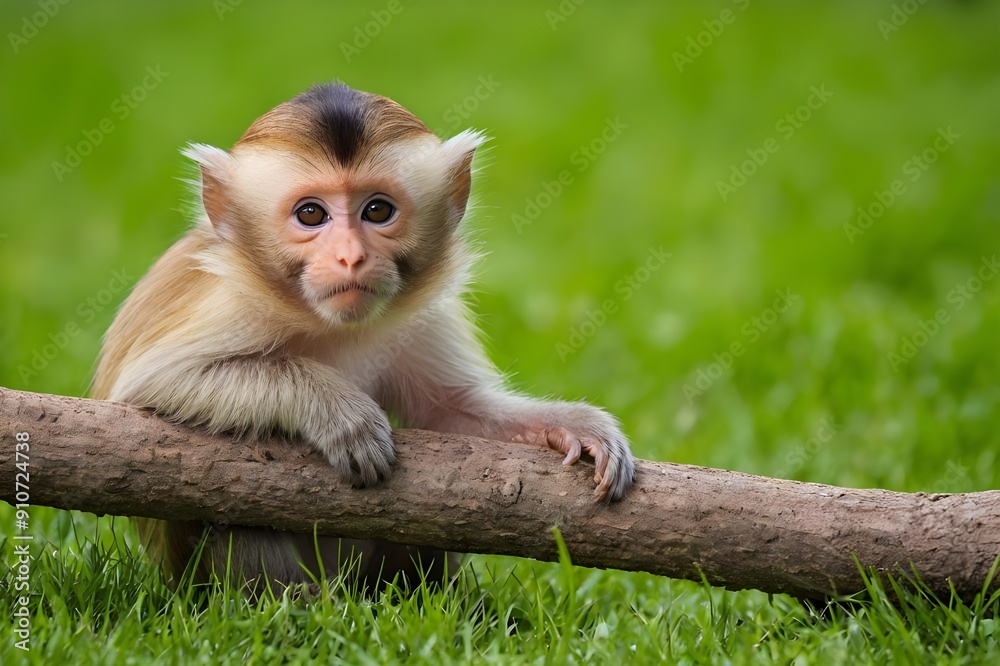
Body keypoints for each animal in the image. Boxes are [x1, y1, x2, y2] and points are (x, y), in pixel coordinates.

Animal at [91, 82, 635, 596]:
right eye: (311, 215)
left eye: (377, 210)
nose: (351, 256)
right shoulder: (230, 302)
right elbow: (154, 384)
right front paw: (343, 415)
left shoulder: (421, 318)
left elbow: (450, 413)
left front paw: (578, 426)